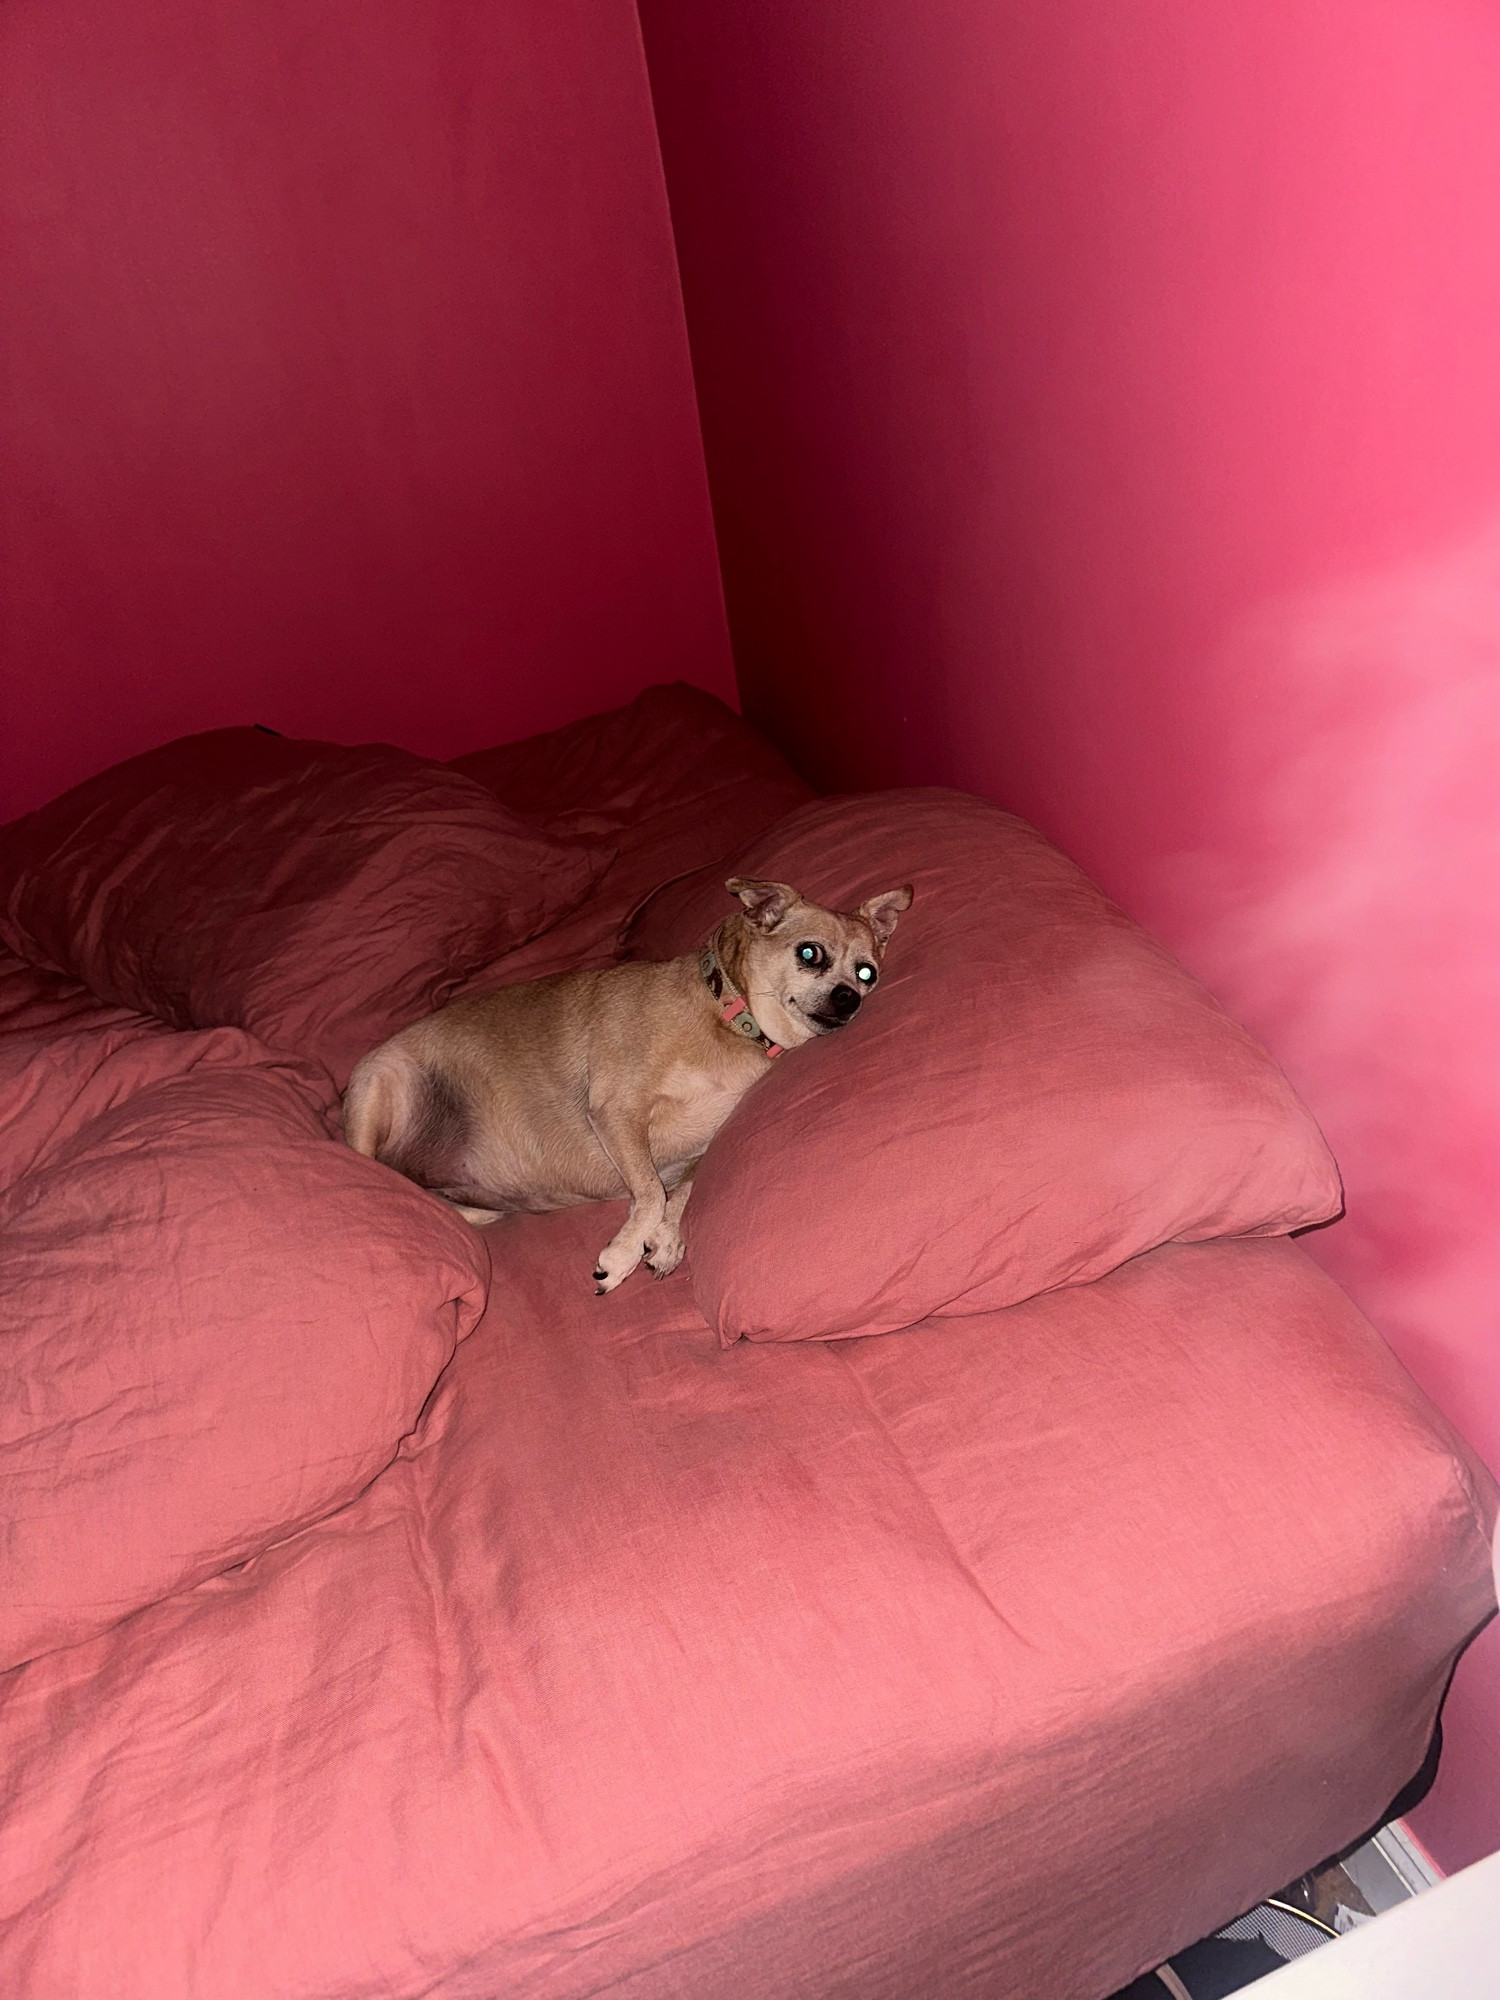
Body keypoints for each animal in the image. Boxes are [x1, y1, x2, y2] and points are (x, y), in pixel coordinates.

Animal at [346, 880, 912, 1288]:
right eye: (810, 954)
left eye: (867, 973)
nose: (849, 999)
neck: (730, 1019)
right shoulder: (616, 1113)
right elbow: (651, 1191)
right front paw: (621, 1255)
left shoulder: (696, 1148)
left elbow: (681, 1190)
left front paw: (666, 1242)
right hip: (377, 1088)